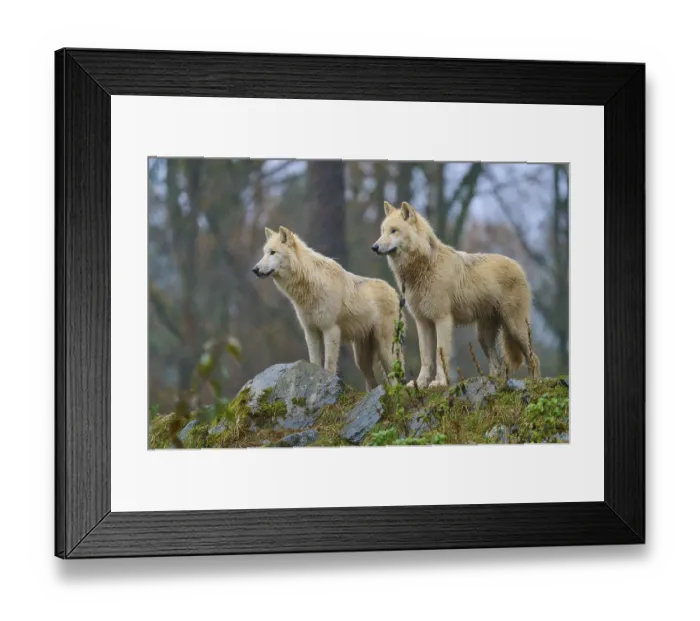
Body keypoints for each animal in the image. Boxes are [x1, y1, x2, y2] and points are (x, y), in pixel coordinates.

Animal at [253, 226, 401, 390]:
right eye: (264, 253)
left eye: (273, 252)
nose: (255, 269)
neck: (309, 287)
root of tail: (394, 291)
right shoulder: (311, 331)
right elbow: (315, 362)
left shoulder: (330, 330)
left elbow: (329, 366)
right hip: (362, 360)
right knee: (372, 382)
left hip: (385, 350)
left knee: (396, 379)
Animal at [372, 201, 540, 387]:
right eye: (382, 231)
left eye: (394, 230)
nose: (374, 247)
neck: (422, 267)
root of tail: (518, 266)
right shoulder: (423, 322)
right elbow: (426, 357)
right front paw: (420, 384)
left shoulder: (442, 319)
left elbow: (441, 354)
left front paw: (440, 382)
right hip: (483, 336)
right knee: (499, 366)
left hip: (516, 328)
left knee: (533, 358)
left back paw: (535, 383)